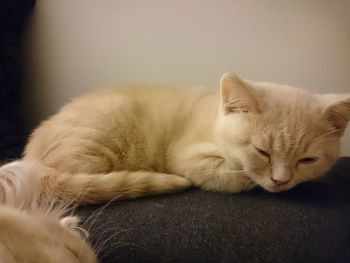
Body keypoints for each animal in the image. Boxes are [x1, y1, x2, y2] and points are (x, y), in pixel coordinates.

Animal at [0, 73, 350, 205]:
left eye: (307, 160)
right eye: (262, 151)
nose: (281, 181)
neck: (214, 117)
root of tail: (30, 163)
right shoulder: (188, 156)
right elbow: (233, 176)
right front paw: (250, 178)